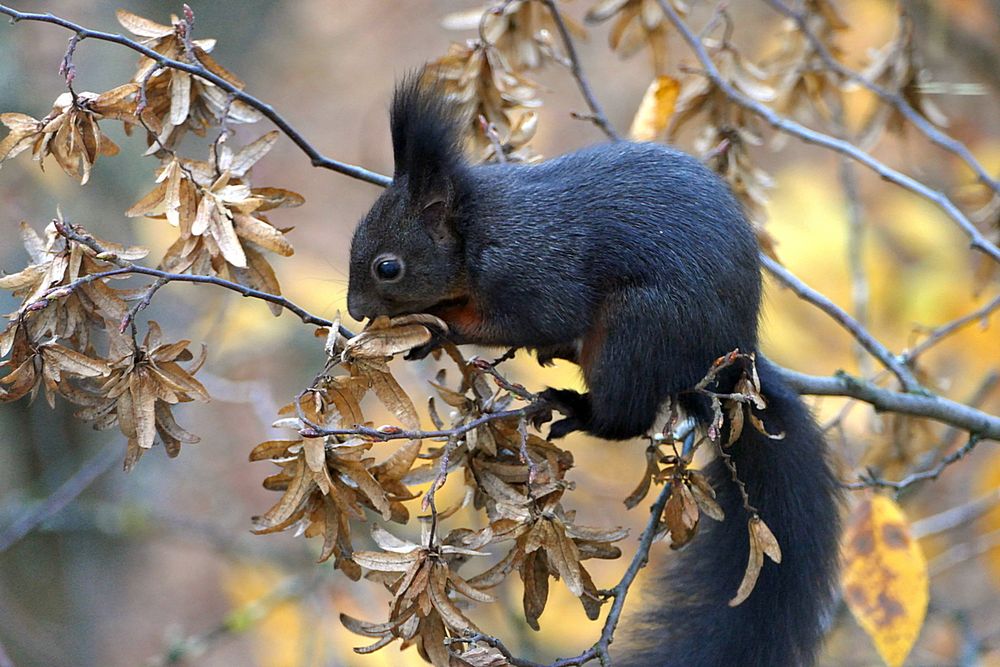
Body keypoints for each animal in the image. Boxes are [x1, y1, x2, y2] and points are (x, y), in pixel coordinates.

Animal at [348, 75, 840, 667]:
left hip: (636, 329)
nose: (353, 310)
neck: (475, 230)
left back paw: (575, 407)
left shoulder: (533, 271)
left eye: (388, 267)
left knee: (626, 417)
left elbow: (528, 318)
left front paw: (438, 328)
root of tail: (735, 355)